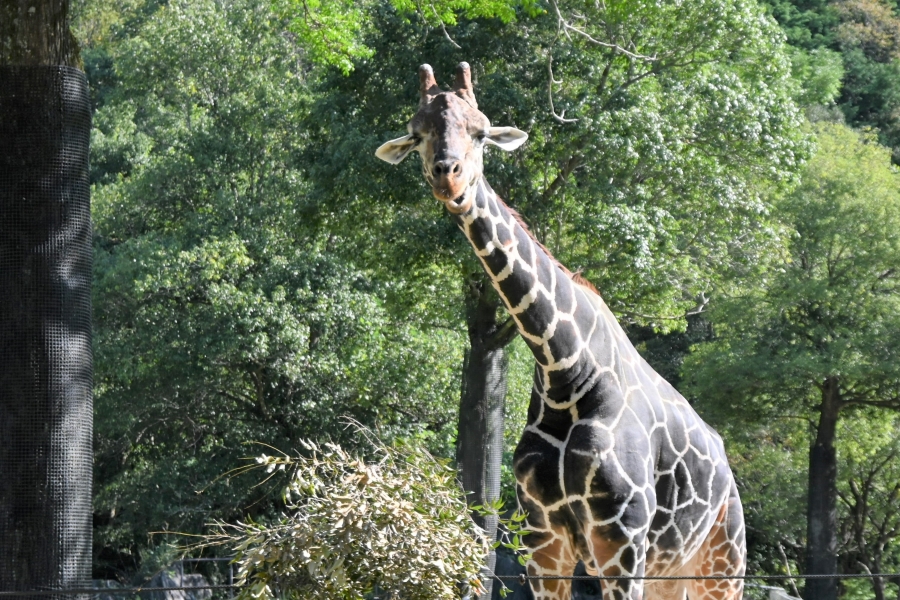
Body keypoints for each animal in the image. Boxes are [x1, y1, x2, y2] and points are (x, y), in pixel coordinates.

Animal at [374, 63, 744, 596]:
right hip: (670, 571)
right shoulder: (543, 541)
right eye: (418, 134)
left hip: (722, 557)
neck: (564, 372)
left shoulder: (622, 543)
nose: (449, 177)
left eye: (481, 133)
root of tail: (727, 465)